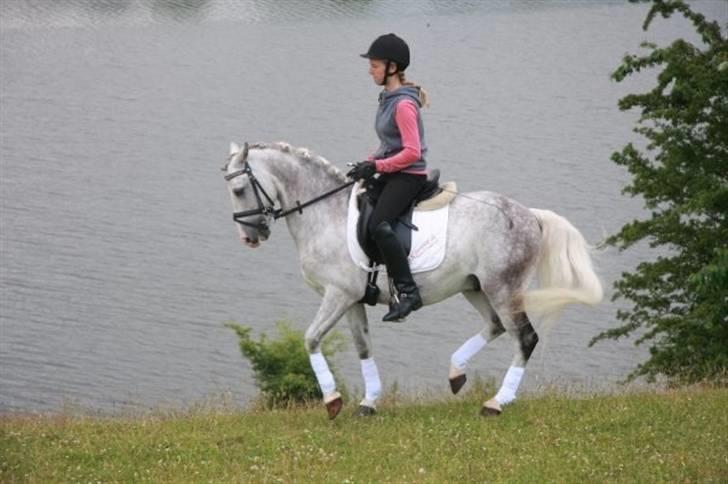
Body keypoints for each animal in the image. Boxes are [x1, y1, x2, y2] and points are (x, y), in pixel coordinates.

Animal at [223, 141, 603, 419]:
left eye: (239, 189)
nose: (249, 237)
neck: (326, 214)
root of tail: (530, 216)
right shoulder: (352, 299)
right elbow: (363, 347)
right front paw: (369, 403)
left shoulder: (337, 295)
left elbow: (311, 339)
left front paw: (332, 401)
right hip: (475, 286)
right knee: (495, 326)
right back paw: (456, 373)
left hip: (503, 288)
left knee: (524, 338)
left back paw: (496, 402)